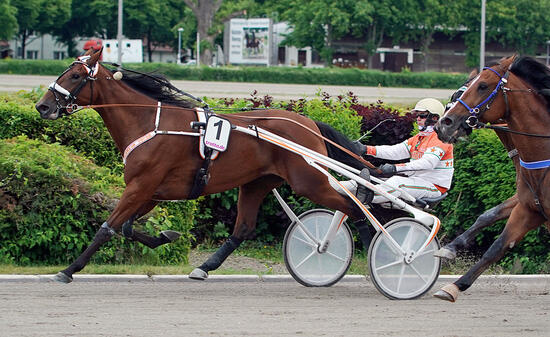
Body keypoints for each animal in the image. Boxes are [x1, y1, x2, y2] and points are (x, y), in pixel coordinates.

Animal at [34, 48, 374, 282]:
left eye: (75, 76)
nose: (43, 106)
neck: (148, 121)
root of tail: (309, 124)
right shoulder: (151, 191)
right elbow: (128, 228)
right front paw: (166, 236)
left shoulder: (141, 186)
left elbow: (107, 228)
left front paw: (68, 270)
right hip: (257, 182)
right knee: (243, 228)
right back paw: (204, 267)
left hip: (309, 181)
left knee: (356, 206)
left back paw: (377, 252)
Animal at [436, 54, 550, 300]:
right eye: (456, 94)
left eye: (483, 86)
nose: (444, 124)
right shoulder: (530, 207)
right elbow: (495, 236)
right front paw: (453, 278)